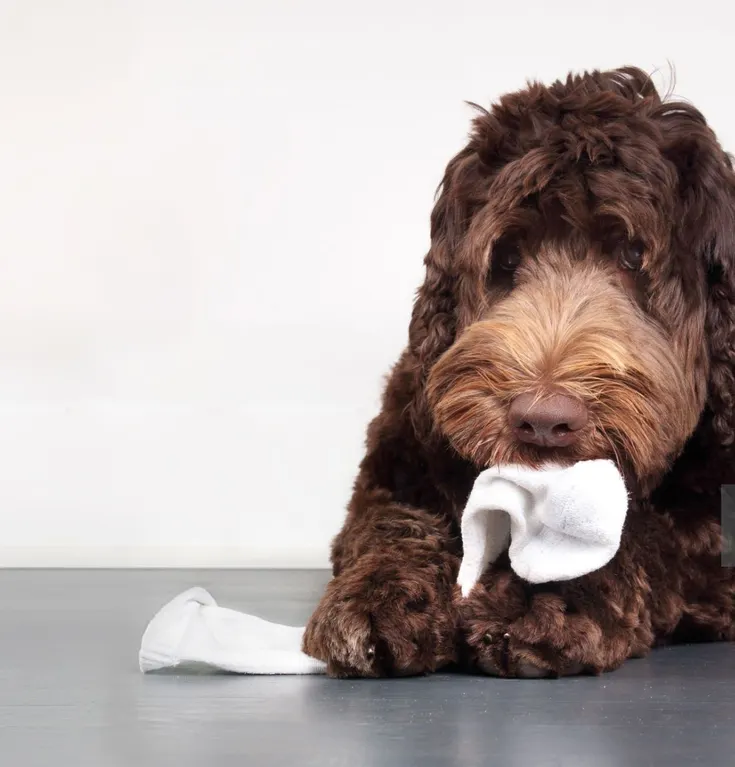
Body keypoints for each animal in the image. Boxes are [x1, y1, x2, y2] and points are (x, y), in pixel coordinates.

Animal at [302, 66, 732, 680]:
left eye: (632, 255)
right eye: (506, 258)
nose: (543, 421)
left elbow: (653, 535)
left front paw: (540, 595)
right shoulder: (398, 462)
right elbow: (389, 522)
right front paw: (379, 596)